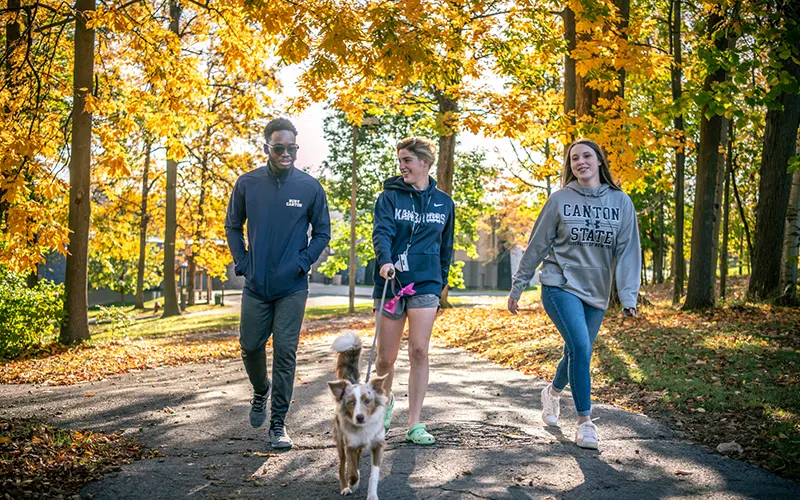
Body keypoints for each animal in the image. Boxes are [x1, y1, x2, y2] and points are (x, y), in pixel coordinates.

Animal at [326, 330, 386, 498]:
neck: (364, 429)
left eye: (367, 401)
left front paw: (372, 495)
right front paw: (352, 485)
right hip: (341, 444)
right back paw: (345, 487)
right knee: (342, 468)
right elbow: (352, 473)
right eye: (351, 402)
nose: (360, 417)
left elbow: (374, 475)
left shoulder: (378, 445)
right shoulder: (350, 446)